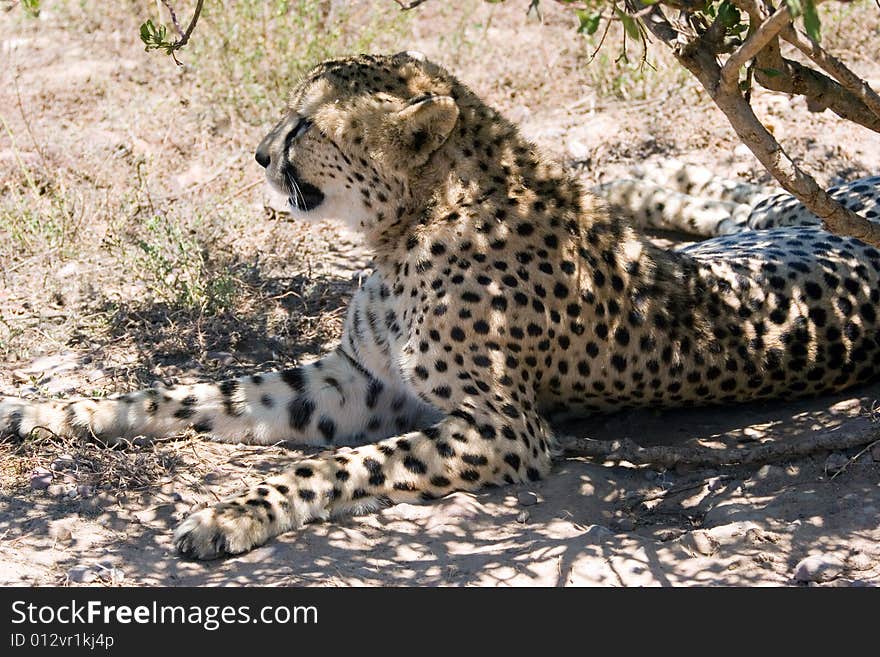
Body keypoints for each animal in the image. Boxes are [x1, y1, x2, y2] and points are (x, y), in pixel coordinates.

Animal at [1, 51, 880, 560]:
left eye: (306, 126)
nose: (256, 154)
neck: (417, 217)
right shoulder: (353, 379)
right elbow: (181, 395)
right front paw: (47, 411)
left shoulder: (502, 428)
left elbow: (337, 465)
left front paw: (232, 513)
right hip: (764, 222)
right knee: (728, 189)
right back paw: (631, 183)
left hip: (797, 215)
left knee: (767, 179)